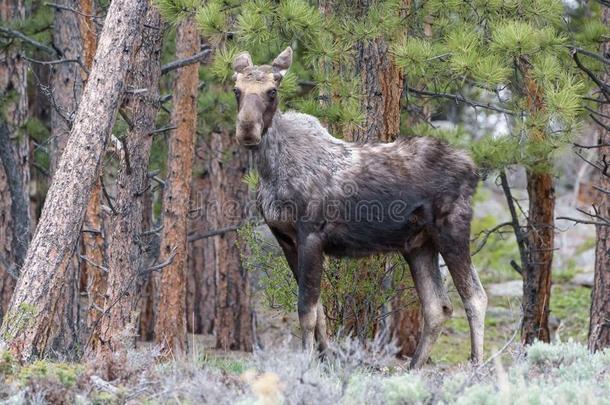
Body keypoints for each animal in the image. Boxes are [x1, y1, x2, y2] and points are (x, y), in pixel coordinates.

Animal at [230, 46, 486, 366]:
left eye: (272, 91)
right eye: (236, 90)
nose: (247, 130)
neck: (271, 171)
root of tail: (474, 169)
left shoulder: (311, 235)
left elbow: (306, 311)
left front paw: (307, 362)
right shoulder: (286, 239)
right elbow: (319, 312)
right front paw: (324, 359)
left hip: (452, 228)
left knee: (475, 297)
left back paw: (476, 364)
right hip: (418, 244)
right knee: (438, 307)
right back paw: (413, 367)